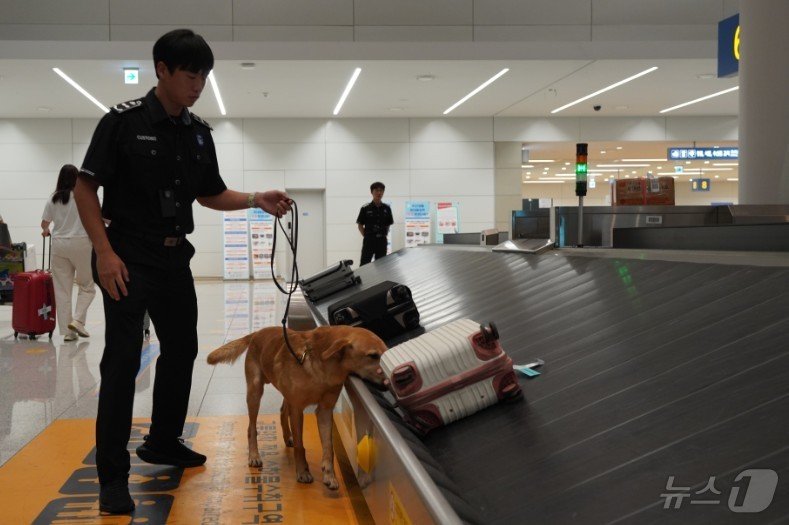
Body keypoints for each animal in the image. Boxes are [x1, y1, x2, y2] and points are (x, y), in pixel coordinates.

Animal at [205, 326, 386, 490]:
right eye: (373, 355)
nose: (388, 383)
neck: (323, 367)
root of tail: (258, 332)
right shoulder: (298, 409)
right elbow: (300, 447)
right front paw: (303, 472)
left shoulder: (325, 410)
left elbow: (329, 448)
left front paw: (329, 475)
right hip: (255, 392)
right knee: (252, 427)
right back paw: (254, 455)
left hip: (285, 395)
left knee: (282, 412)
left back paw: (287, 436)